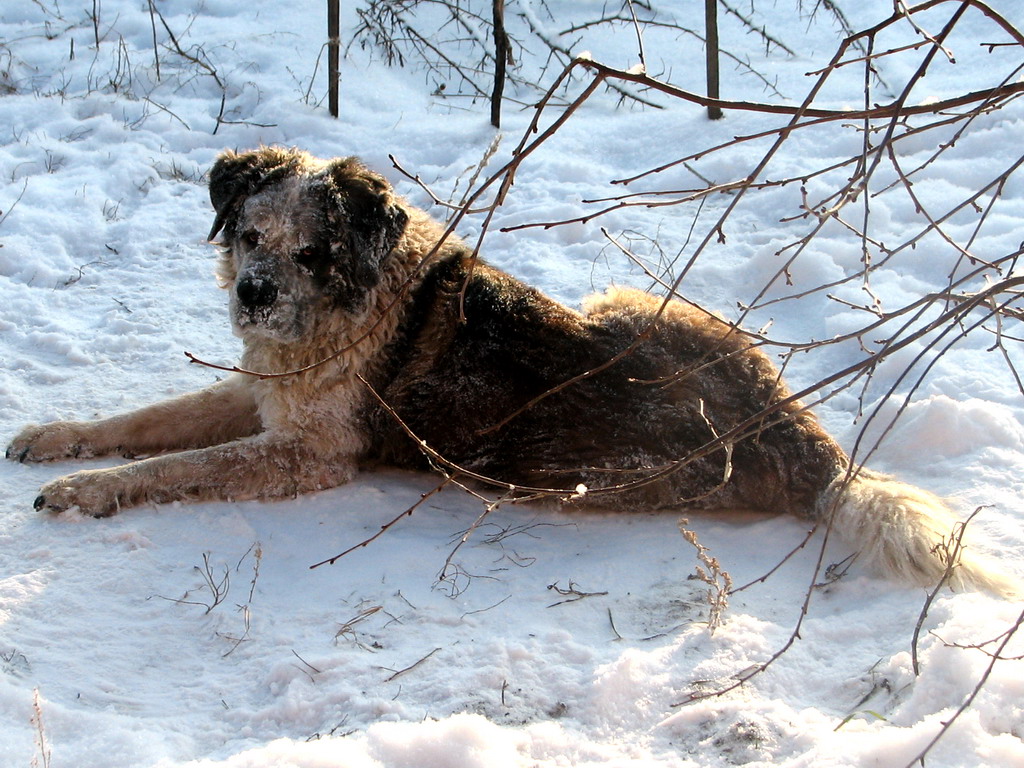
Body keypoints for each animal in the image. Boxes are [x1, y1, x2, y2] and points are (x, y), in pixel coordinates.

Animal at [6, 148, 1015, 593]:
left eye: (314, 253)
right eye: (250, 234)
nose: (252, 296)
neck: (358, 296)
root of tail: (809, 447)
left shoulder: (308, 454)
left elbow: (175, 465)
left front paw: (90, 491)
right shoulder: (262, 396)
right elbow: (148, 421)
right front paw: (58, 439)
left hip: (621, 319)